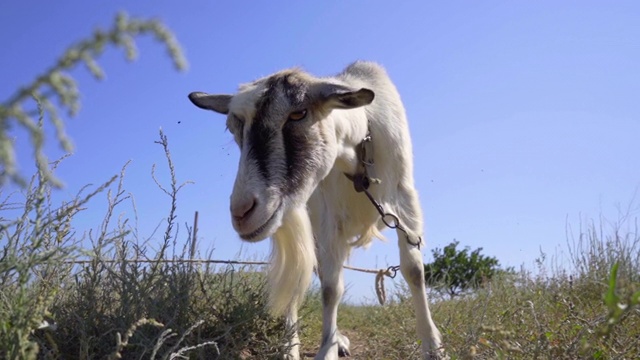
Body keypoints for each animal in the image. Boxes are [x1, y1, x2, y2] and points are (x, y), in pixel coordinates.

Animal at [188, 60, 442, 358]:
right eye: (232, 127)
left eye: (298, 113)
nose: (242, 213)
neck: (357, 162)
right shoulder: (327, 217)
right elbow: (331, 287)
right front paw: (327, 348)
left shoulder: (404, 202)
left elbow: (413, 270)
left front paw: (433, 347)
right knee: (298, 274)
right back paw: (292, 347)